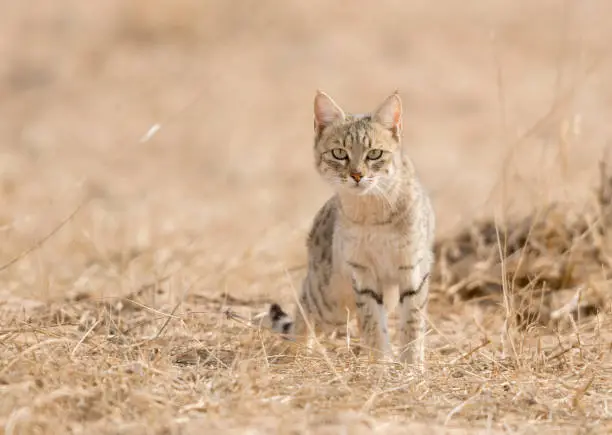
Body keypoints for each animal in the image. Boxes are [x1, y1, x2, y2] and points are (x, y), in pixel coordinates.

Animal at [268, 91, 436, 368]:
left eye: (375, 153)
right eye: (339, 153)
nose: (357, 175)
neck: (372, 213)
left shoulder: (412, 270)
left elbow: (412, 325)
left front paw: (411, 367)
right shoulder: (363, 274)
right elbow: (373, 325)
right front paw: (381, 366)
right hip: (327, 300)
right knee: (303, 309)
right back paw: (300, 352)